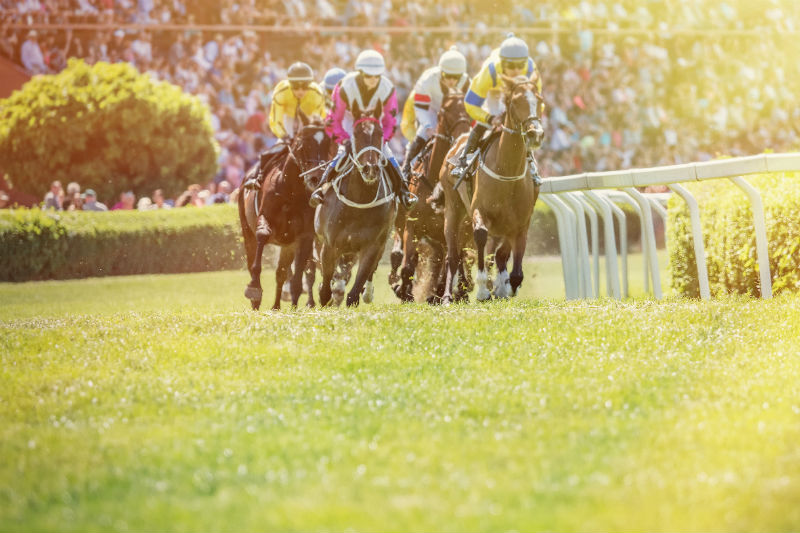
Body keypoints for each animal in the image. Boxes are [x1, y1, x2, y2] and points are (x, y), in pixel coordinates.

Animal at [241, 114, 334, 310]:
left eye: (327, 144)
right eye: (303, 142)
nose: (316, 177)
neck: (291, 190)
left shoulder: (304, 236)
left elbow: (298, 275)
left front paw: (294, 306)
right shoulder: (265, 217)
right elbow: (262, 234)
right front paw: (254, 288)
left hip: (287, 245)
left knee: (282, 272)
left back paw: (276, 306)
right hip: (247, 231)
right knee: (252, 255)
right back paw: (256, 301)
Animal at [316, 107, 396, 308]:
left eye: (380, 133)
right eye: (357, 134)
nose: (371, 168)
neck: (358, 205)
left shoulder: (372, 246)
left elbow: (354, 294)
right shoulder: (329, 246)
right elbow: (325, 290)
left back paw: (367, 292)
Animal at [394, 89, 476, 302]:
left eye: (467, 109)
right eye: (445, 111)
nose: (462, 134)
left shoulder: (456, 227)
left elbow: (453, 259)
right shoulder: (412, 225)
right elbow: (408, 264)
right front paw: (404, 291)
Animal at [438, 75, 544, 304]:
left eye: (539, 100)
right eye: (516, 101)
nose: (535, 134)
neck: (507, 170)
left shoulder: (520, 221)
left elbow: (510, 262)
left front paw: (505, 287)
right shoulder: (480, 210)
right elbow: (480, 236)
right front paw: (482, 289)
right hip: (453, 209)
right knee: (452, 254)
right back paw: (448, 296)